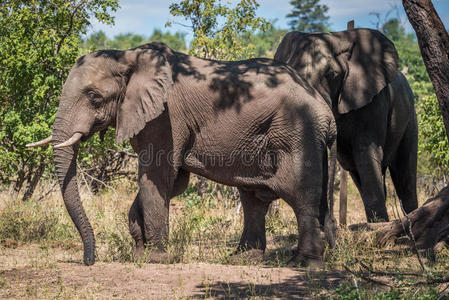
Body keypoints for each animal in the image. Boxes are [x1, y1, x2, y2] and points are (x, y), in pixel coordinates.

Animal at [27, 42, 336, 268]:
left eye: (93, 97)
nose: (89, 261)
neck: (128, 56)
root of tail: (324, 109)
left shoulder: (166, 117)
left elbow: (156, 176)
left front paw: (155, 259)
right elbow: (171, 183)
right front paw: (139, 253)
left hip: (297, 132)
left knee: (300, 195)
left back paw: (303, 264)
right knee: (253, 197)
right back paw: (244, 258)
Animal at [272, 28, 416, 223]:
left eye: (331, 75)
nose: (332, 221)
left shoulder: (373, 99)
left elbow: (366, 152)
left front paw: (379, 225)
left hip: (409, 115)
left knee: (404, 173)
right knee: (357, 172)